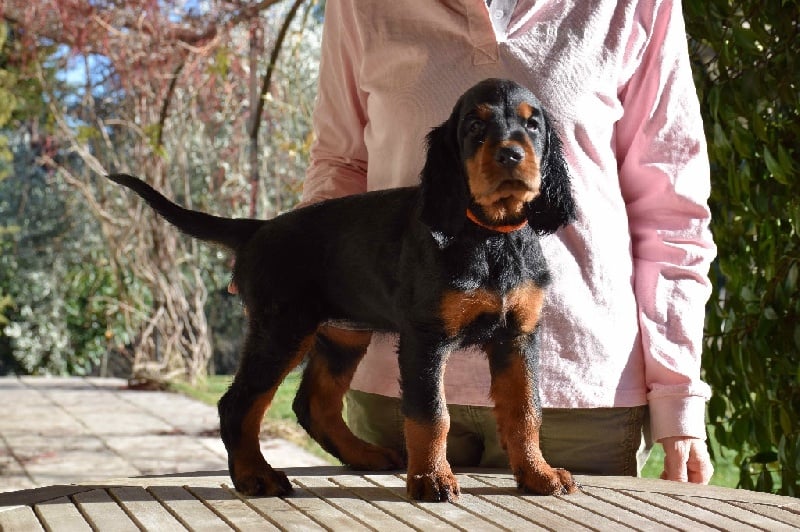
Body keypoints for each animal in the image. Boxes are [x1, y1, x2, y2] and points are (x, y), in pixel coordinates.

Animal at [107, 78, 578, 502]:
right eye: (475, 125)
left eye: (532, 124)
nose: (511, 154)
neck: (490, 235)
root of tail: (258, 229)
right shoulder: (425, 338)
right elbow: (430, 412)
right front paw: (431, 479)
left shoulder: (518, 338)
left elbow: (525, 409)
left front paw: (537, 474)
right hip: (282, 329)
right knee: (239, 402)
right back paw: (255, 475)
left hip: (341, 336)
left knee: (314, 405)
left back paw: (364, 455)